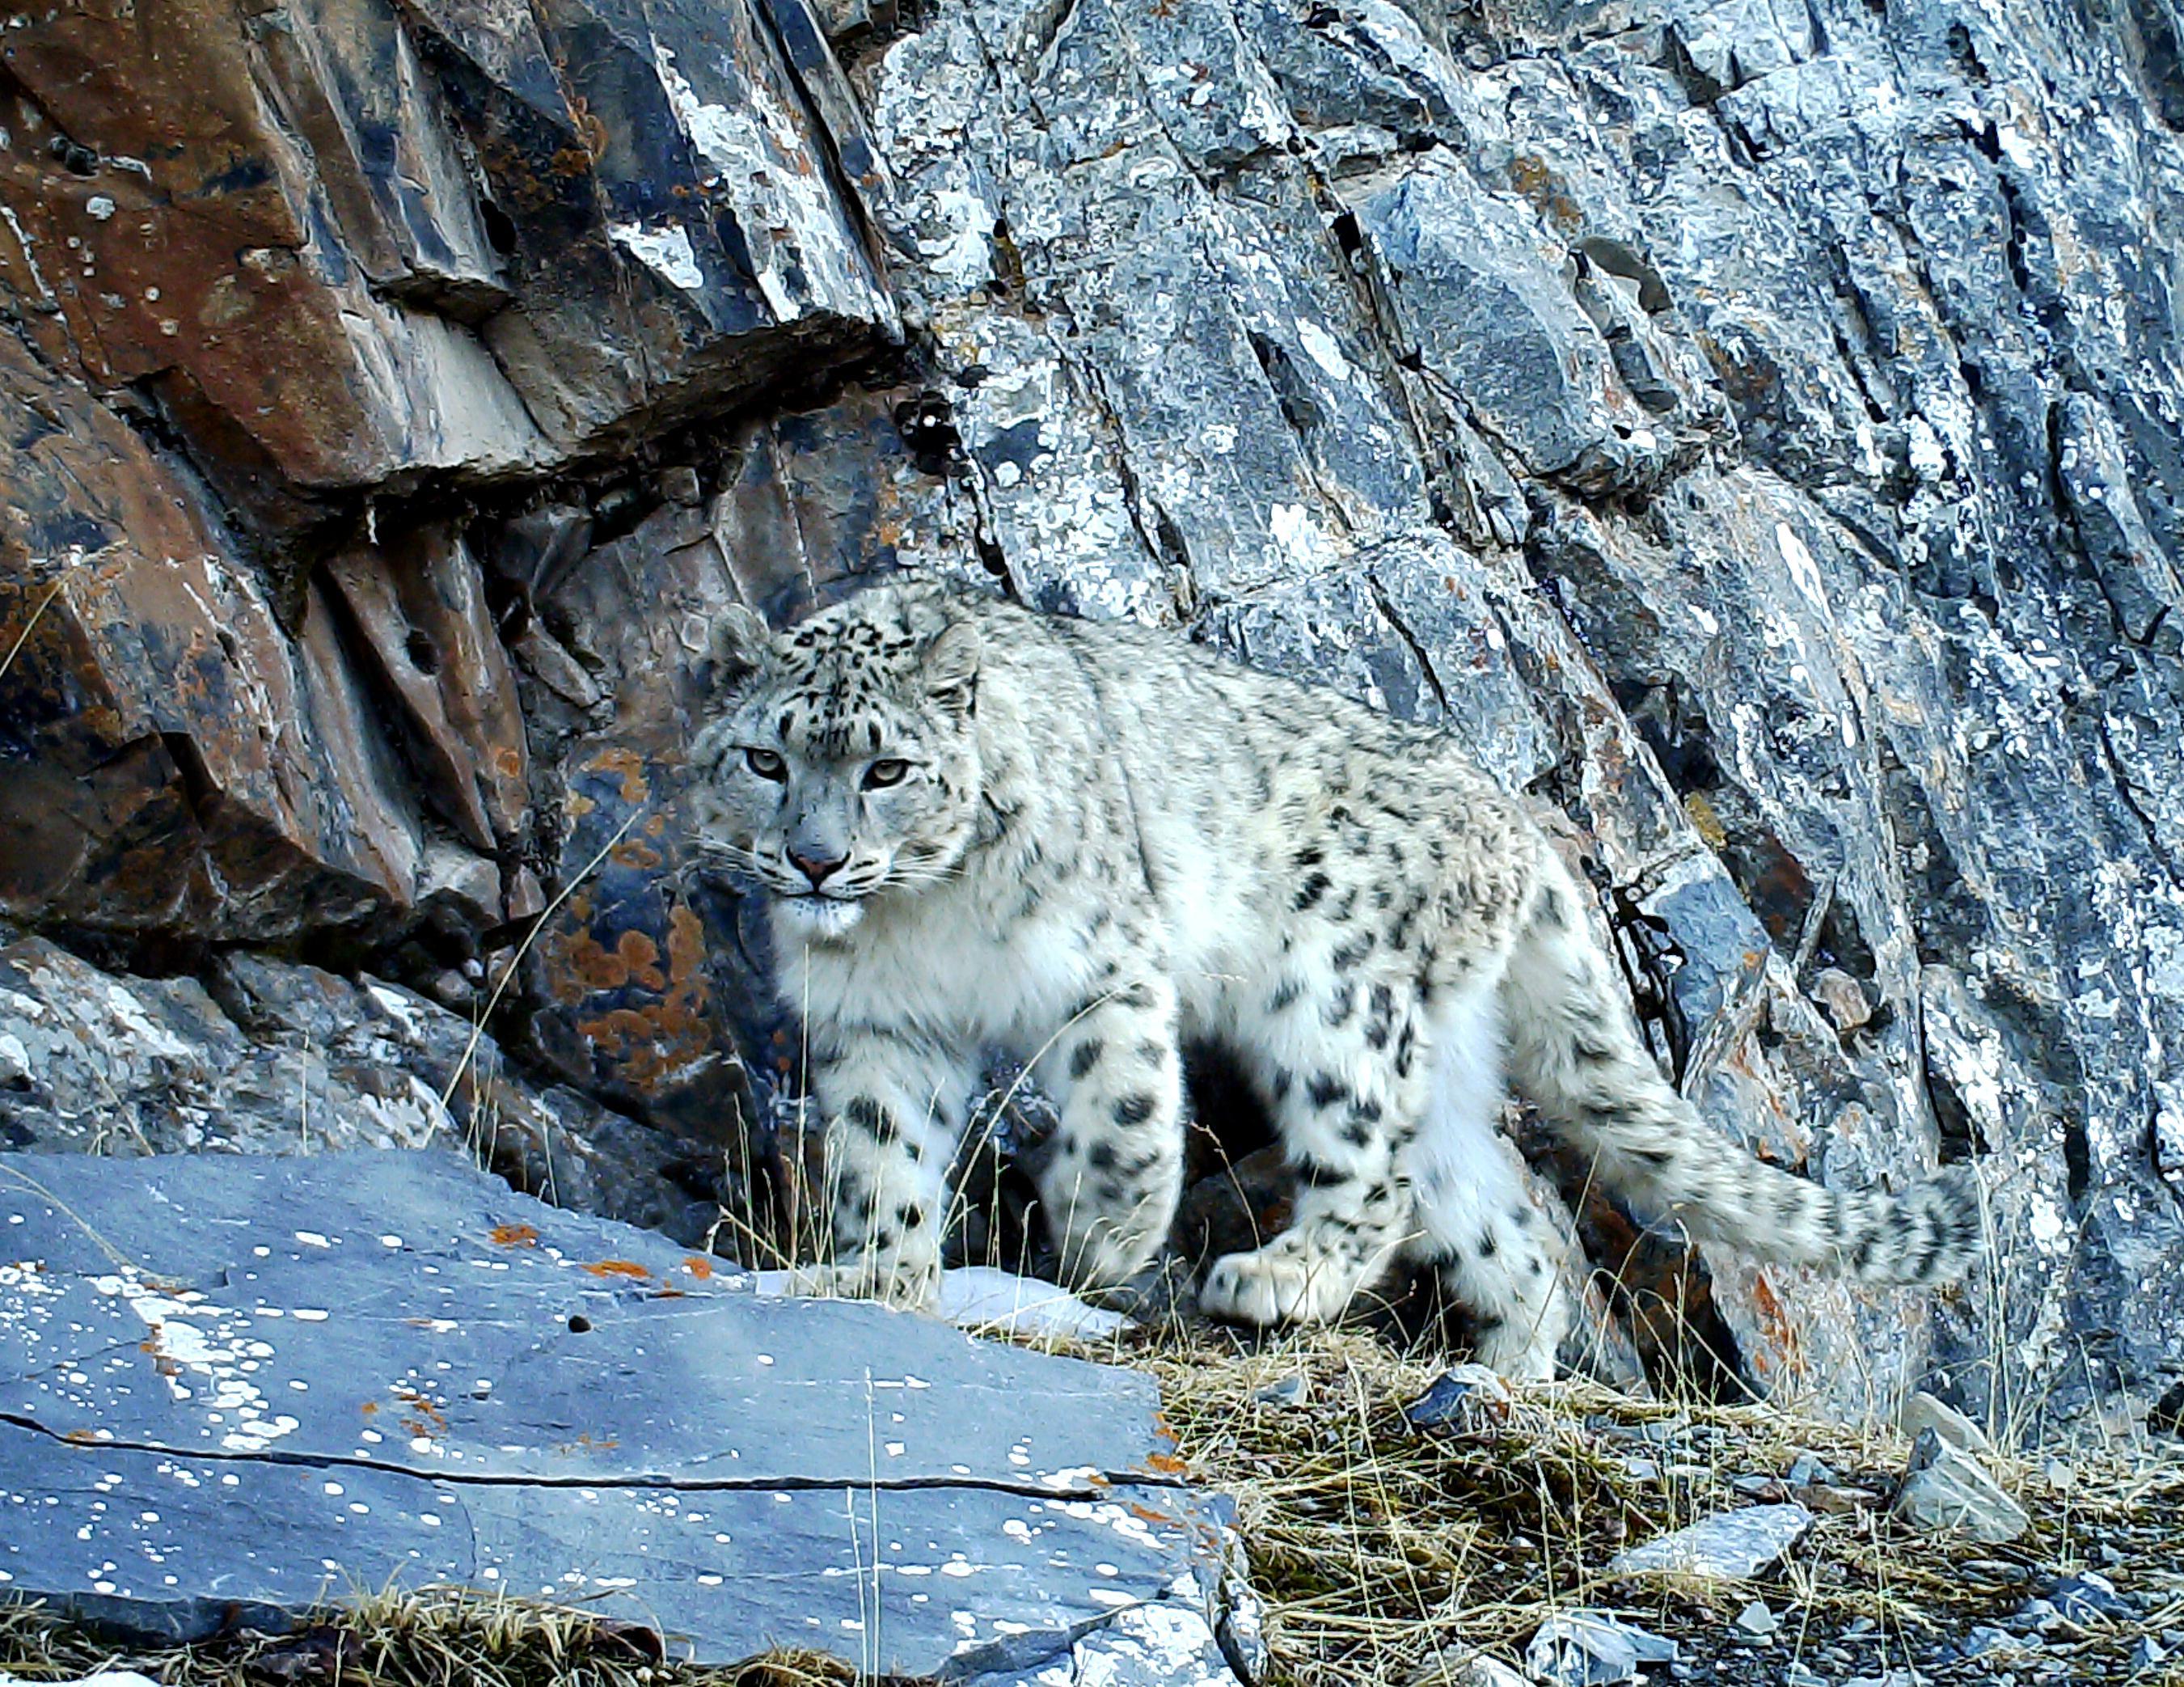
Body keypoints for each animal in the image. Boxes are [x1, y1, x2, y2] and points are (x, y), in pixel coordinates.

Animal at [690, 572, 1992, 1380]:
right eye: (765, 758)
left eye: (888, 768)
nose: (815, 860)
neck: (918, 914)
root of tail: (1516, 826)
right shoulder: (879, 1021)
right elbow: (880, 1148)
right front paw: (877, 1271)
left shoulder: (1104, 965)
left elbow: (1127, 1111)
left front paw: (1104, 1233)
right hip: (1439, 1054)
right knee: (1498, 1213)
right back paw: (1504, 1370)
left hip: (1336, 991)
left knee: (1377, 1176)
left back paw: (1277, 1279)